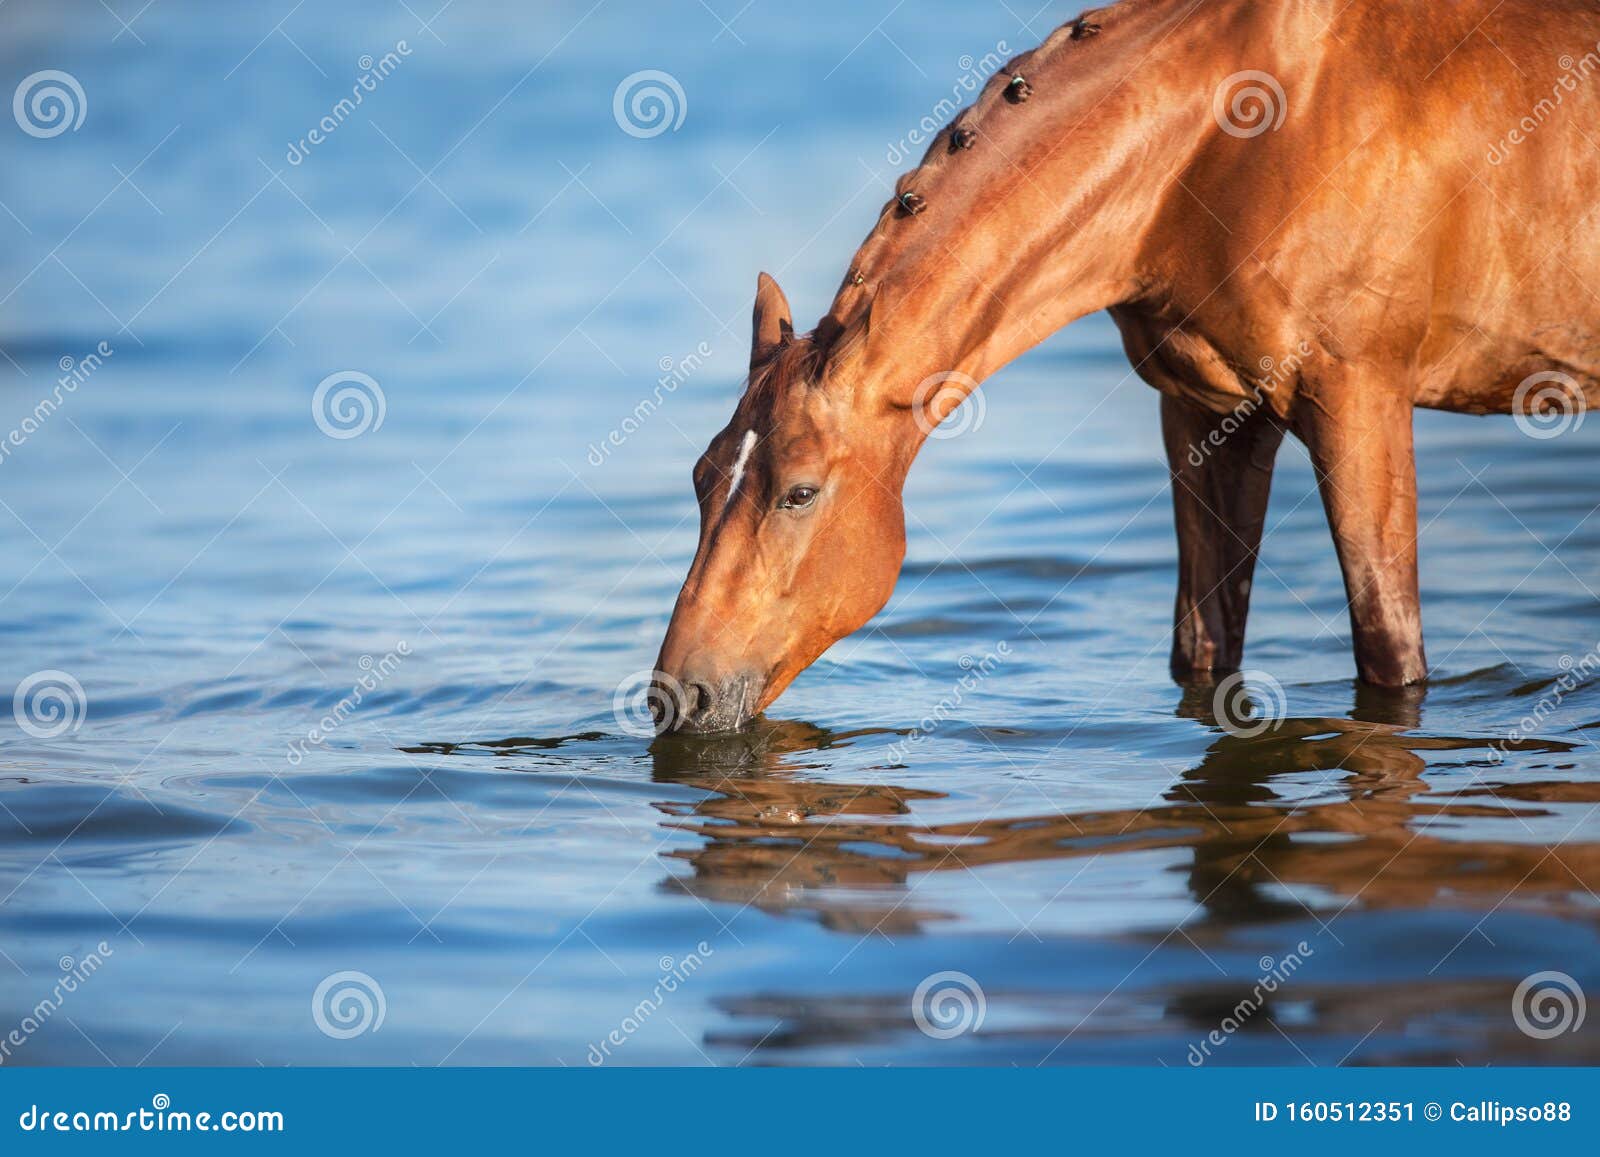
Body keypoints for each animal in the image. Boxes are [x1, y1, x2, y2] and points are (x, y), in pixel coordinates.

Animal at [649, 2, 1600, 732]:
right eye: (698, 477)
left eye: (799, 491)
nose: (674, 696)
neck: (1232, 137)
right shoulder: (1208, 413)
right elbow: (1202, 652)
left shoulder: (1358, 396)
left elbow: (1389, 651)